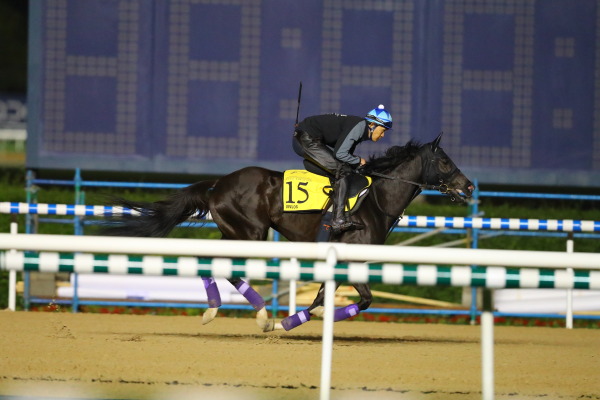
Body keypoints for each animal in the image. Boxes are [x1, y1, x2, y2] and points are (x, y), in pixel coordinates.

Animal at [105, 134, 476, 332]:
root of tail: (218, 183)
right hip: (250, 235)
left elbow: (330, 298)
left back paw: (222, 310)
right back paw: (256, 315)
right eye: (445, 162)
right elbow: (357, 299)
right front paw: (298, 319)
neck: (376, 201)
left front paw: (297, 319)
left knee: (210, 260)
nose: (469, 187)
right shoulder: (350, 259)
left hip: (236, 232)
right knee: (225, 265)